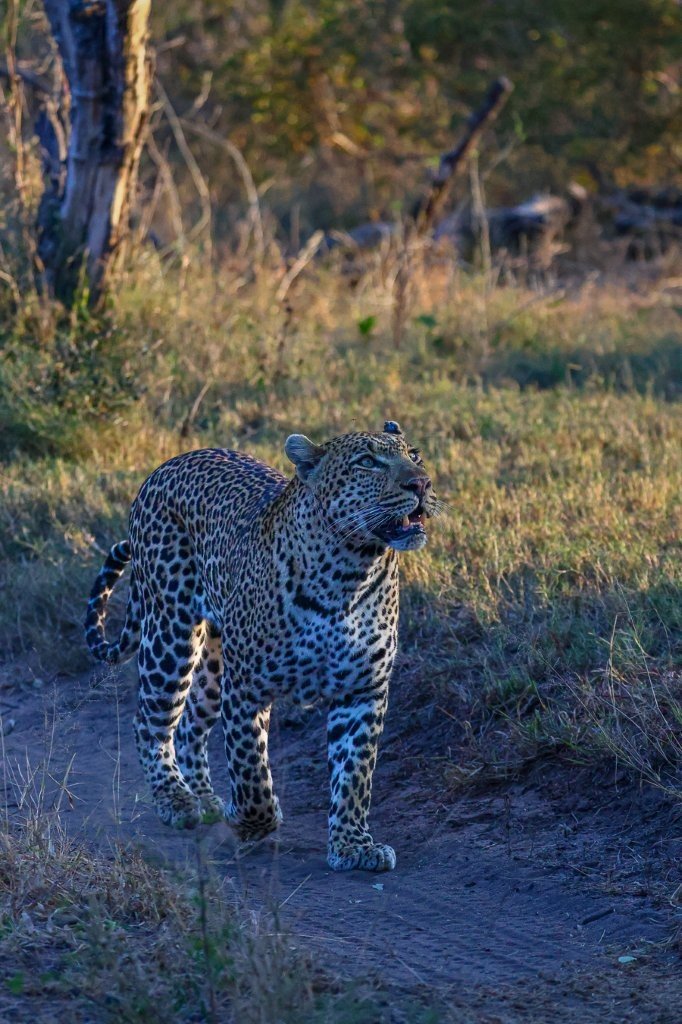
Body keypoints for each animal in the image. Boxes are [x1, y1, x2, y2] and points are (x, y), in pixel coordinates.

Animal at [85, 420, 439, 872]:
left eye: (415, 455)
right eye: (368, 462)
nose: (421, 483)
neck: (350, 570)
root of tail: (168, 464)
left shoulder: (362, 691)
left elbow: (355, 774)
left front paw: (352, 845)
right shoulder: (247, 688)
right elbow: (251, 770)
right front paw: (249, 821)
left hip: (214, 667)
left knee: (190, 725)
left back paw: (204, 798)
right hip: (171, 635)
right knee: (150, 722)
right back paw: (177, 799)